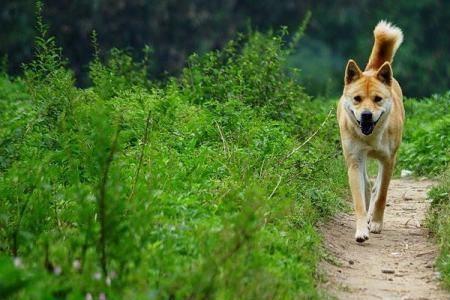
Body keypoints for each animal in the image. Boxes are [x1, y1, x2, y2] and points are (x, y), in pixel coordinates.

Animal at [338, 20, 404, 241]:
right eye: (357, 98)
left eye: (377, 99)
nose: (366, 115)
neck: (372, 136)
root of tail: (373, 69)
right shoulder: (355, 159)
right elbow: (359, 200)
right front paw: (361, 230)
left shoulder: (389, 159)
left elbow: (382, 193)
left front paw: (375, 223)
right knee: (367, 185)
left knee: (376, 188)